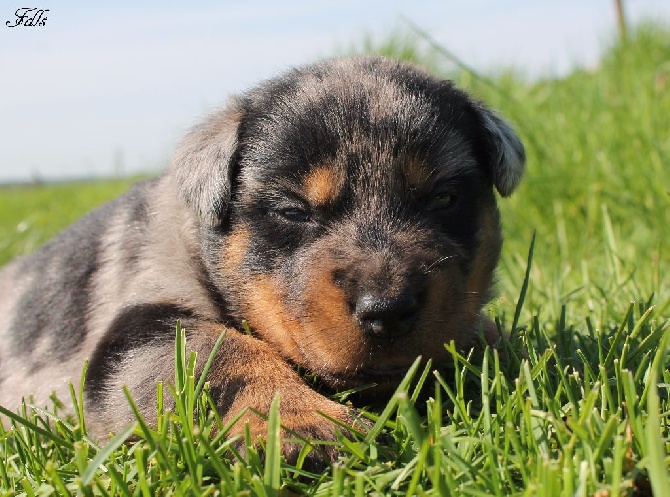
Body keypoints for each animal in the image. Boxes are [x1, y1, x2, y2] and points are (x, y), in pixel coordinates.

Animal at [0, 56, 524, 464]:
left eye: (444, 199)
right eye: (292, 211)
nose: (388, 310)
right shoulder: (137, 329)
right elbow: (219, 352)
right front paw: (302, 423)